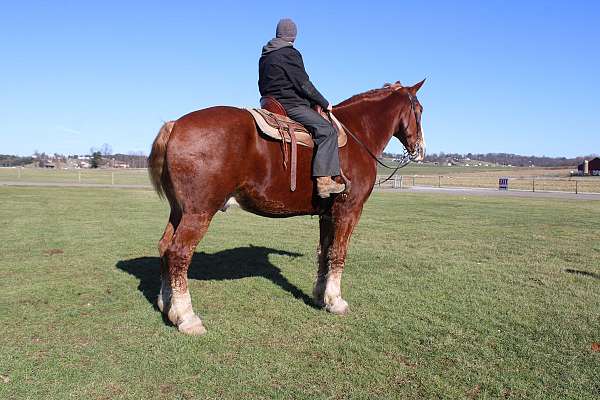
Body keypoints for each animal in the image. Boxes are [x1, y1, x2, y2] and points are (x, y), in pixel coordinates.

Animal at [147, 79, 424, 334]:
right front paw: (335, 301)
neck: (357, 135)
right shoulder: (348, 210)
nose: (420, 149)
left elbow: (324, 252)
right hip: (199, 213)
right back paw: (186, 317)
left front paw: (320, 296)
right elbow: (338, 253)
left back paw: (166, 305)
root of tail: (175, 125)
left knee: (164, 247)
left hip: (179, 211)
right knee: (179, 253)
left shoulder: (327, 215)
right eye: (419, 110)